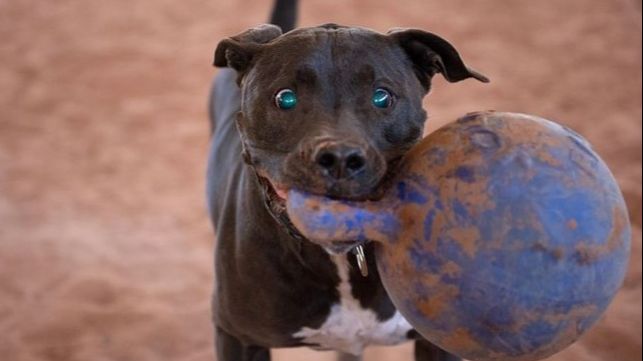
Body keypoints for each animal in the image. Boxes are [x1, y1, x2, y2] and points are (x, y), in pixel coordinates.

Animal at [208, 0, 488, 360]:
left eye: (382, 97)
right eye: (285, 98)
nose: (340, 157)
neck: (341, 259)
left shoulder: (437, 340)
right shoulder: (237, 336)